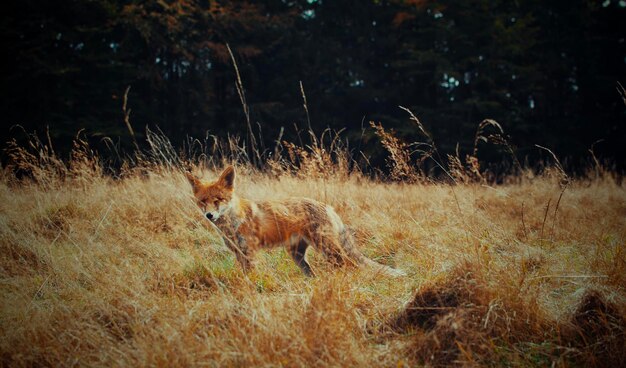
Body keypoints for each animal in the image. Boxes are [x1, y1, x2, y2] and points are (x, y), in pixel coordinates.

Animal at [183, 166, 402, 276]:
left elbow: (252, 277)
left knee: (348, 264)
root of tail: (327, 206)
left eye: (218, 200)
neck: (230, 225)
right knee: (312, 273)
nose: (209, 216)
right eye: (203, 202)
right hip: (297, 256)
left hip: (327, 248)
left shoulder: (250, 252)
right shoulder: (239, 254)